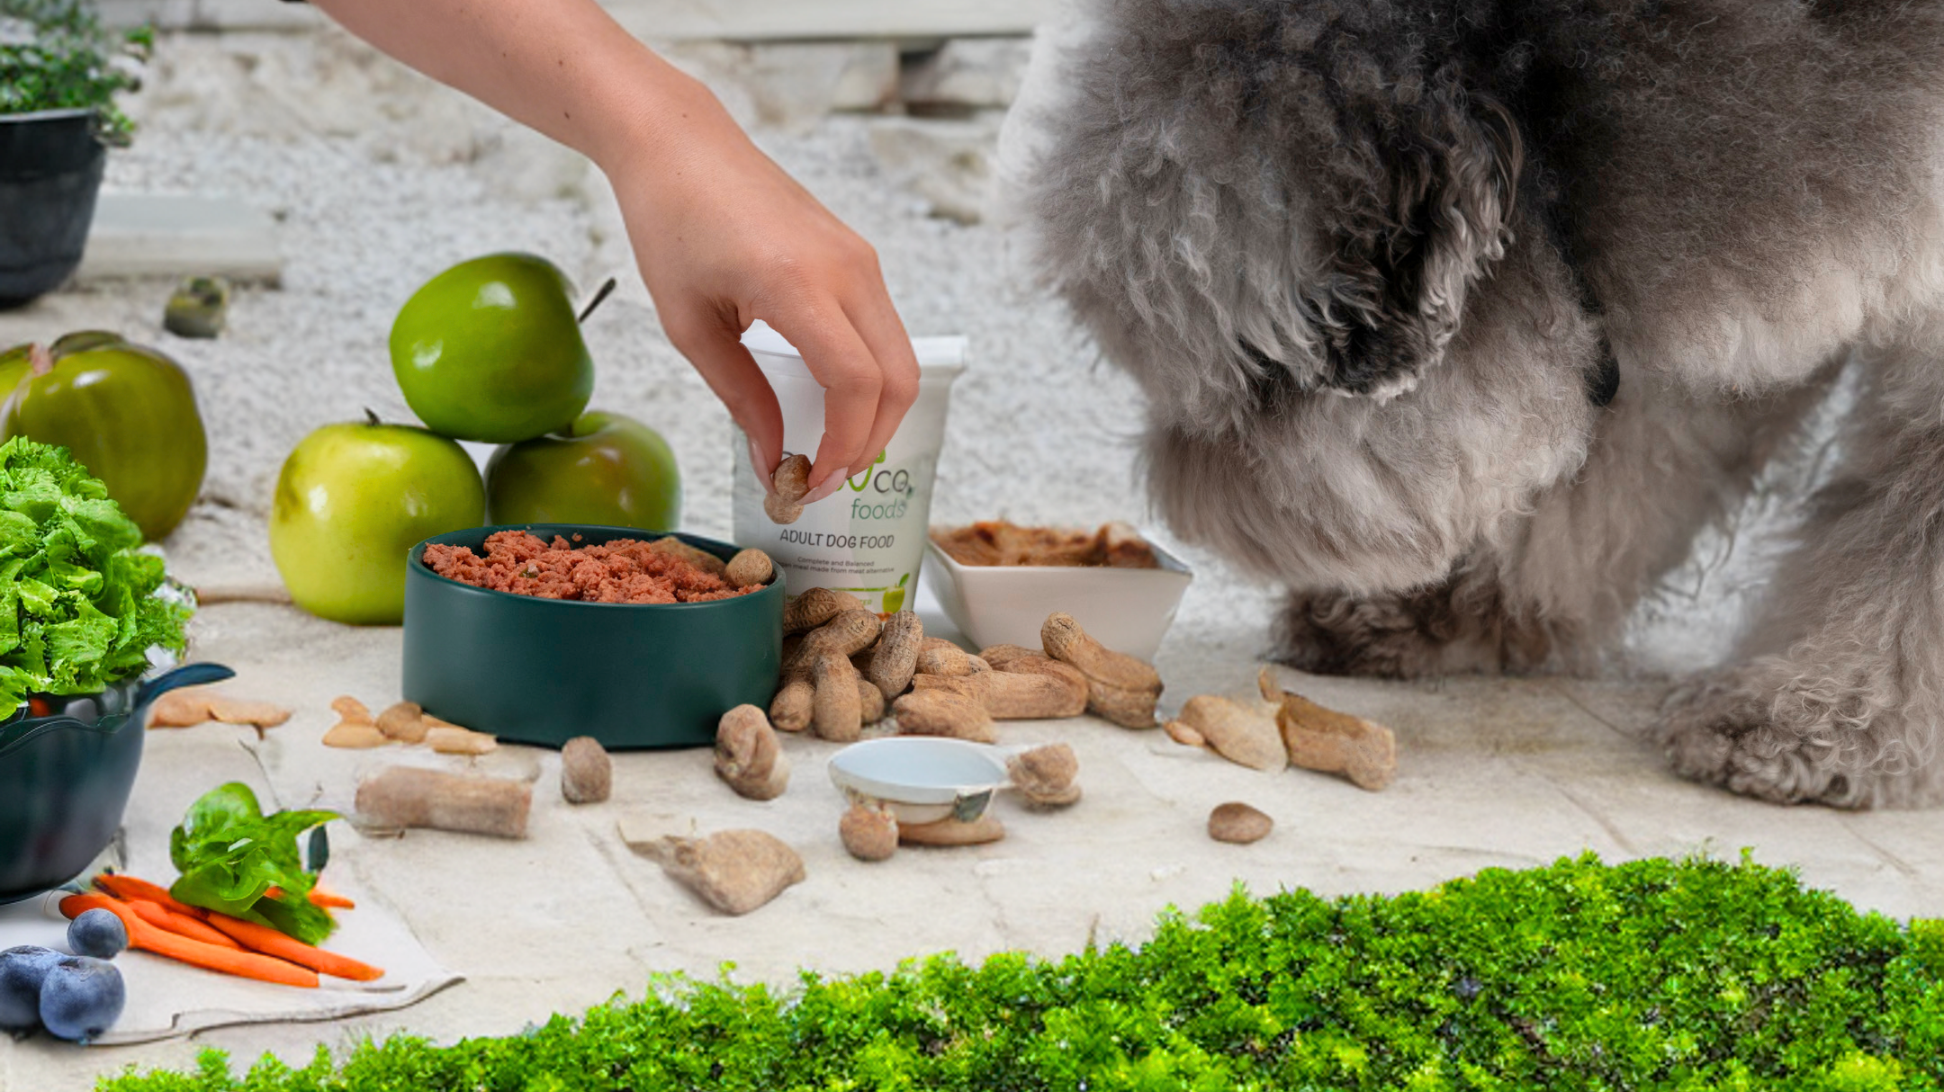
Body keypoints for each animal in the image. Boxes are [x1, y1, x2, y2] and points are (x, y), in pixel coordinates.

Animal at [1018, 0, 1944, 804]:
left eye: (1259, 377)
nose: (1179, 513)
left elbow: (1913, 540)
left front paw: (1819, 713)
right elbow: (1617, 467)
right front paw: (1465, 608)